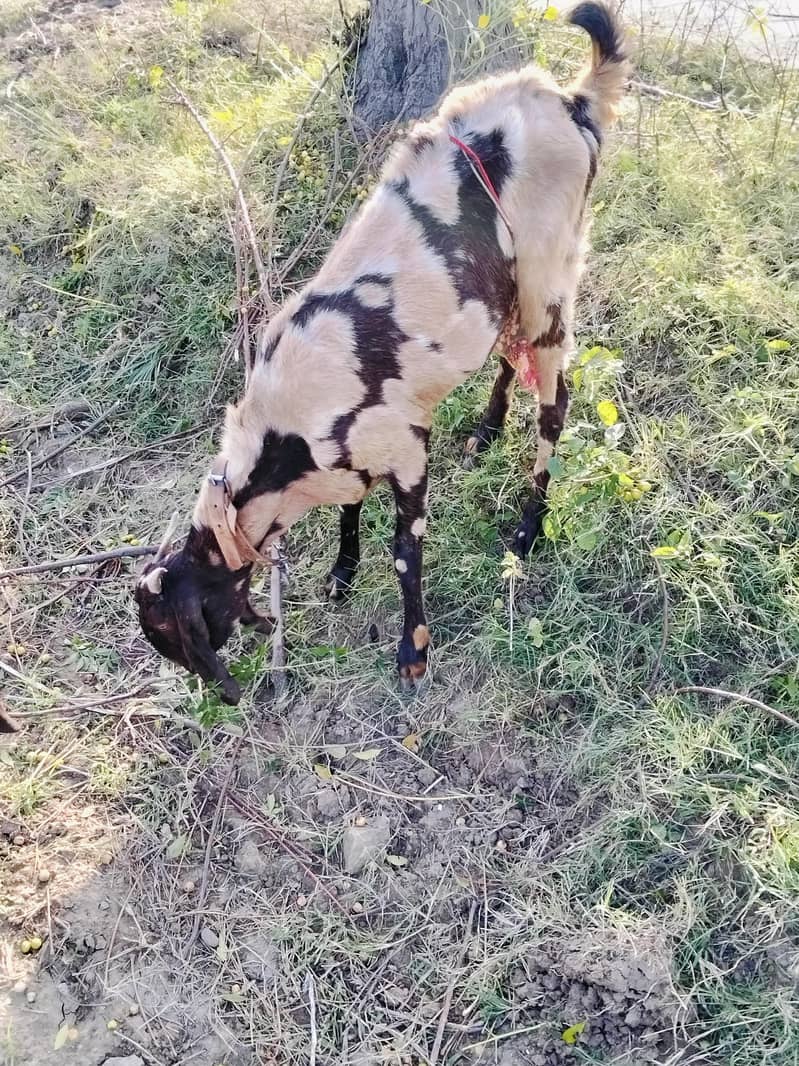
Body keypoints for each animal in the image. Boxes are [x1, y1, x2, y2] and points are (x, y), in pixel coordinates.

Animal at [136, 2, 630, 704]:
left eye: (177, 636)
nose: (224, 697)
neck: (284, 427)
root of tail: (572, 99)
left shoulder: (407, 449)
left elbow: (404, 553)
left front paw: (413, 652)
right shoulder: (357, 454)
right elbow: (349, 510)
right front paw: (341, 575)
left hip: (548, 282)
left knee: (554, 404)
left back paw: (527, 530)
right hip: (505, 288)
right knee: (508, 355)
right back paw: (484, 432)